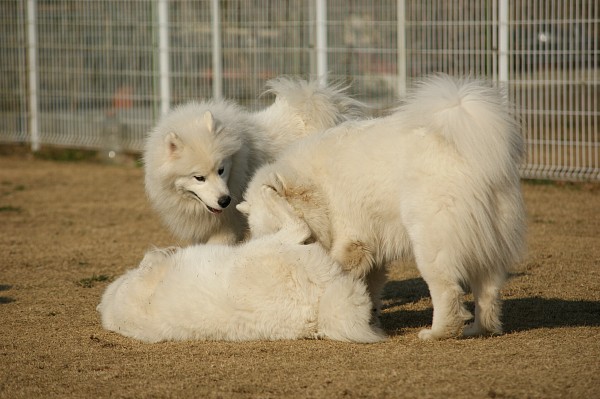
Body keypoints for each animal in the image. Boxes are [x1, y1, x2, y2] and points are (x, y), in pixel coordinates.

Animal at [237, 74, 528, 340]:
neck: (316, 186)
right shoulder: (372, 248)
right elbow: (370, 287)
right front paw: (369, 317)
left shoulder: (353, 240)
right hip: (490, 241)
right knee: (488, 292)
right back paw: (479, 329)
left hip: (431, 242)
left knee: (447, 290)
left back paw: (437, 332)